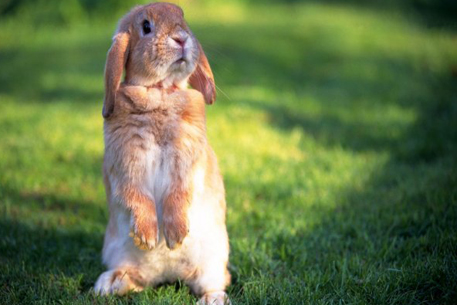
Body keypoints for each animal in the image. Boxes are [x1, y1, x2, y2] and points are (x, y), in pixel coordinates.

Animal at [93, 2, 230, 304]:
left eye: (183, 19)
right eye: (146, 26)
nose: (181, 38)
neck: (160, 92)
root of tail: (168, 275)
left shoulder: (187, 163)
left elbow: (178, 194)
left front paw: (176, 236)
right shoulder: (126, 165)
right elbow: (136, 195)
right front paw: (147, 237)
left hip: (213, 262)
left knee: (215, 282)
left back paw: (212, 298)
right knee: (135, 280)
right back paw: (108, 284)